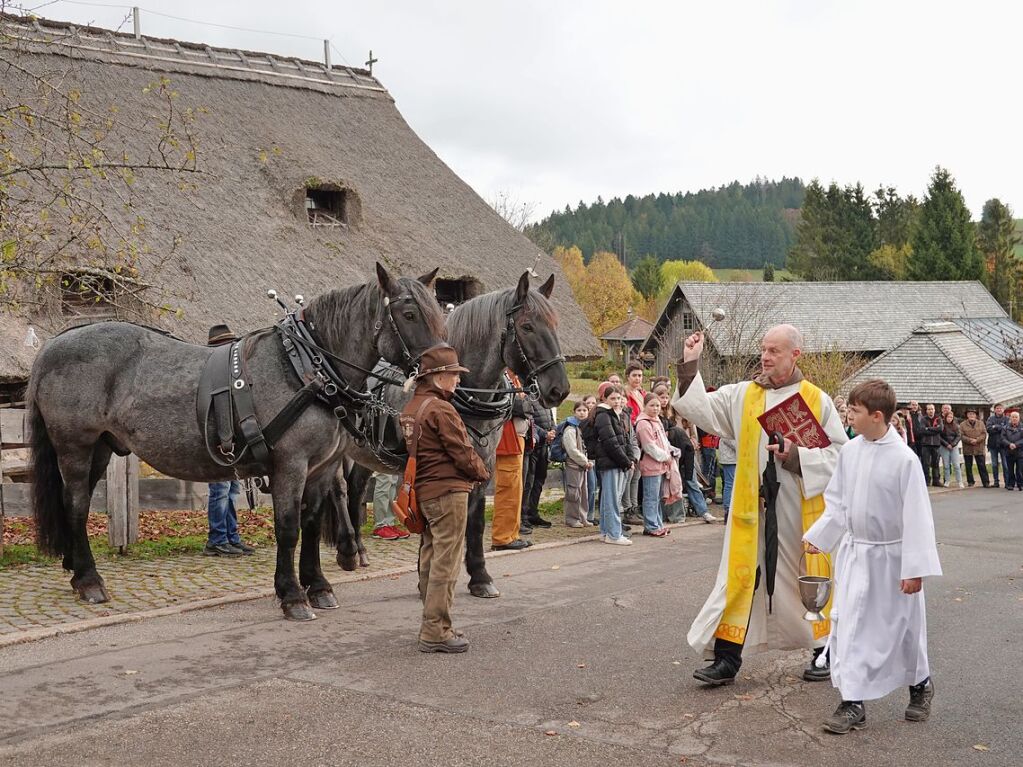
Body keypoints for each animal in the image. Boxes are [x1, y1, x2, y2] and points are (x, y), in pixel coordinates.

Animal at [26, 263, 443, 625]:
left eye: (437, 310)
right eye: (408, 313)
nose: (444, 370)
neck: (306, 367)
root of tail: (53, 344)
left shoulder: (321, 468)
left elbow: (310, 524)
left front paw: (319, 586)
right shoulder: (290, 465)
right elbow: (288, 527)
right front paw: (292, 596)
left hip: (101, 448)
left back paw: (75, 570)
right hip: (75, 448)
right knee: (76, 506)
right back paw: (90, 581)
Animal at [329, 274, 572, 601]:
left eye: (555, 324)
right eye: (527, 326)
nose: (559, 389)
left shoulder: (482, 464)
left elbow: (475, 520)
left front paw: (479, 577)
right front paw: (427, 577)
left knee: (356, 489)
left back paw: (361, 548)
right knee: (339, 490)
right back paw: (345, 552)